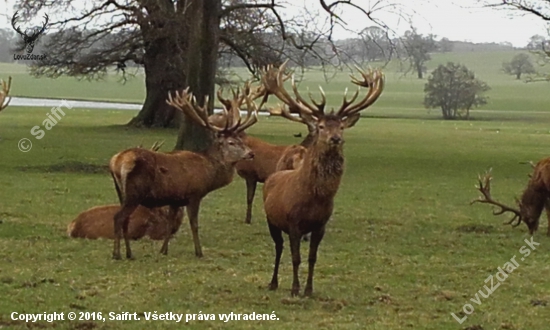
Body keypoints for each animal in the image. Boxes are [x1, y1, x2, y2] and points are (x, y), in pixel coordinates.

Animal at [111, 85, 262, 260]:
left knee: (125, 219)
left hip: (121, 192)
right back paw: (117, 254)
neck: (209, 174)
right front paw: (199, 252)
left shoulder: (175, 199)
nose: (251, 153)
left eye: (241, 140)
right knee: (118, 217)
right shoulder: (194, 194)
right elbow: (194, 224)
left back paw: (129, 253)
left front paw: (163, 250)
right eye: (231, 142)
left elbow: (170, 223)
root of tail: (116, 161)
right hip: (134, 192)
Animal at [260, 60, 386, 296]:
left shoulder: (320, 225)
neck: (314, 198)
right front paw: (295, 289)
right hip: (271, 220)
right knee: (278, 248)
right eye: (321, 126)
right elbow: (296, 258)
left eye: (342, 126)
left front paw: (309, 290)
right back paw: (273, 283)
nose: (336, 138)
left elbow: (312, 258)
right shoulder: (293, 223)